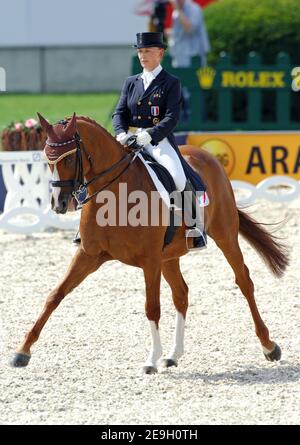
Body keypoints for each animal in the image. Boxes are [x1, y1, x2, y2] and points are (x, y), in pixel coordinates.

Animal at [11, 113, 288, 372]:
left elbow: (152, 307)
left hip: (225, 235)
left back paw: (269, 346)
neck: (115, 193)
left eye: (68, 158)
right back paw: (174, 355)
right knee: (181, 294)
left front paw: (151, 360)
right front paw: (22, 351)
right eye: (48, 159)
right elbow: (55, 295)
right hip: (170, 256)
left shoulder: (150, 260)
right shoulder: (89, 255)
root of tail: (205, 155)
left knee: (244, 281)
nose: (59, 203)